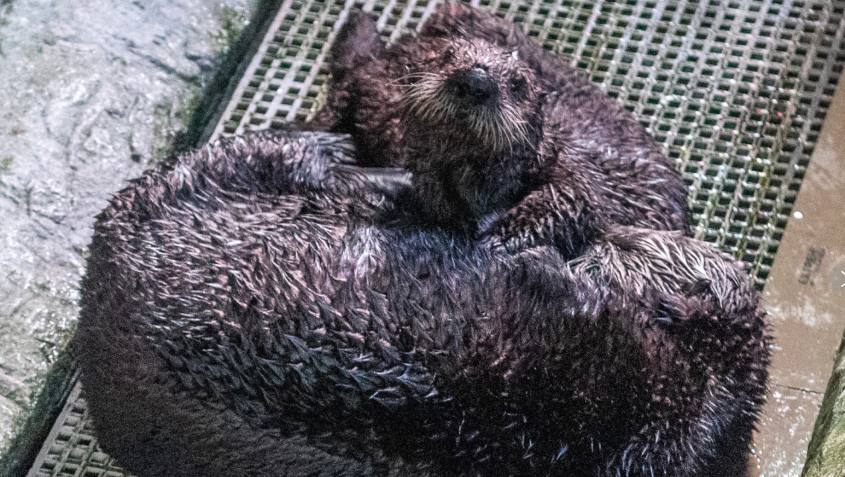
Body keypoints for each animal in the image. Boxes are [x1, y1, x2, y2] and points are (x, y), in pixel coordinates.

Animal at [308, 3, 690, 256]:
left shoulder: (571, 166)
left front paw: (499, 236)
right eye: (448, 57)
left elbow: (572, 199)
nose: (475, 81)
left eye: (518, 84)